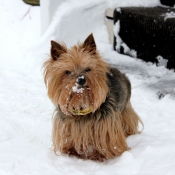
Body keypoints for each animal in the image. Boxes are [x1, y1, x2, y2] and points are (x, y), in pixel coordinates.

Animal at [43, 32, 143, 161]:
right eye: (67, 72)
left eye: (87, 69)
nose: (81, 79)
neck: (82, 105)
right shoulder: (68, 125)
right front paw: (71, 150)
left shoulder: (106, 123)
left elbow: (106, 140)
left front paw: (99, 155)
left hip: (125, 108)